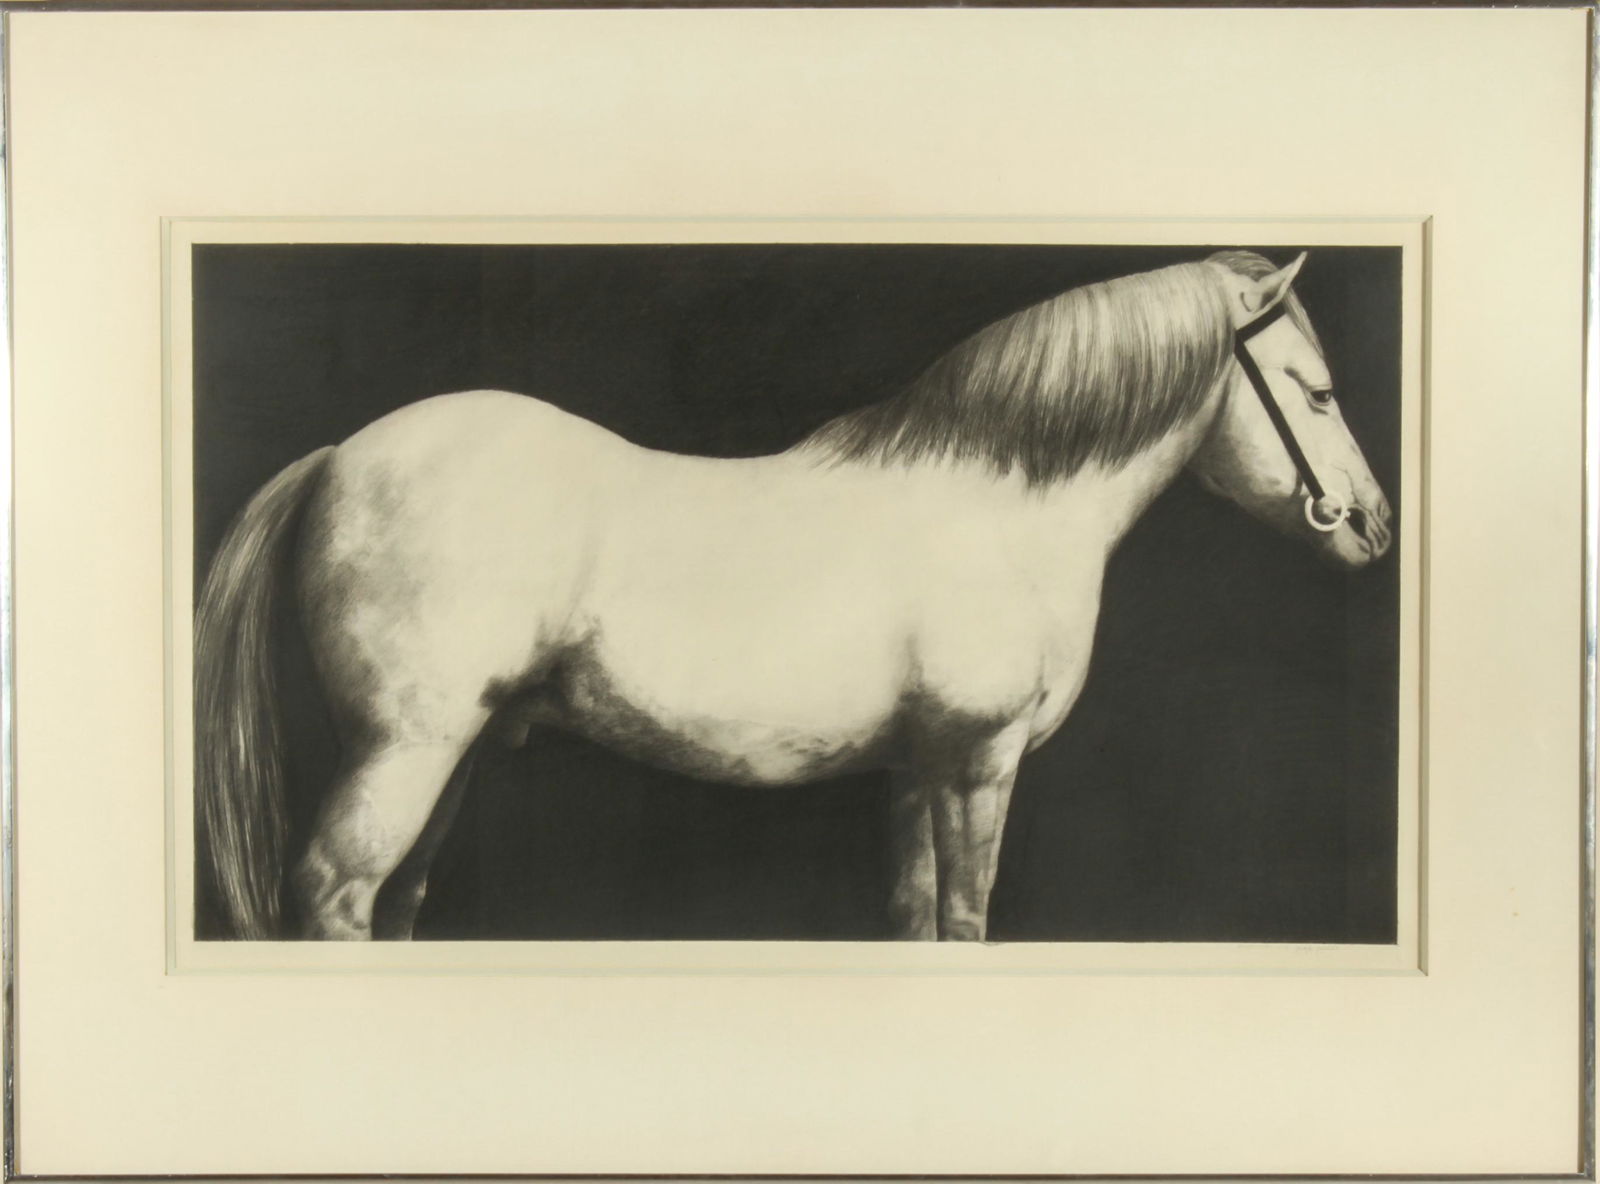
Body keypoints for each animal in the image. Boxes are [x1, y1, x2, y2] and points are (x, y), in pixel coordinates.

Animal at [194, 249, 1394, 942]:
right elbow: (967, 923)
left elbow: (916, 923)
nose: (1375, 527)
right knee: (337, 896)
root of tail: (341, 452)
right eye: (1316, 392)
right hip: (404, 751)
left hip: (457, 752)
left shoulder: (917, 773)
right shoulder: (978, 764)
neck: (998, 509)